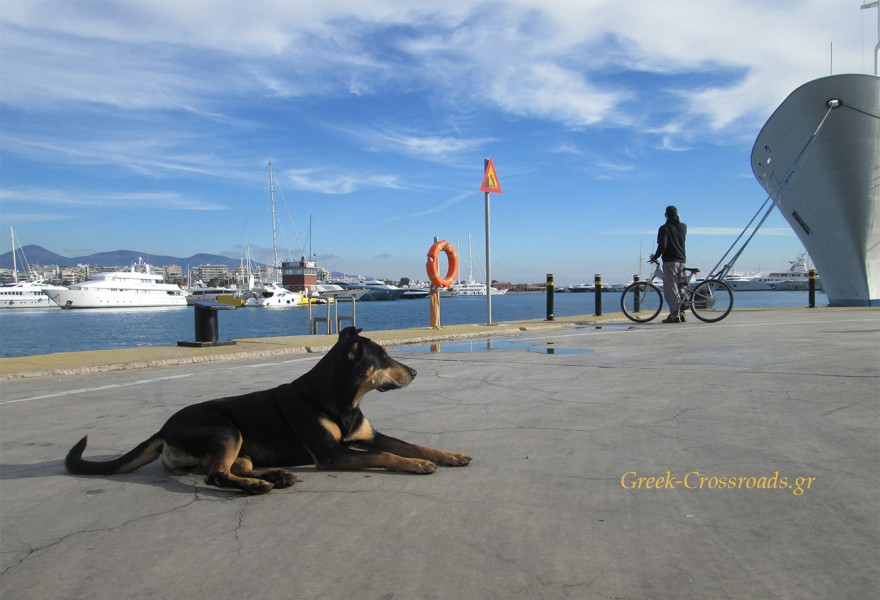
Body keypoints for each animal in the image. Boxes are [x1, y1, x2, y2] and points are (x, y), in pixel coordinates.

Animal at [65, 328, 470, 492]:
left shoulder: (367, 435)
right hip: (224, 429)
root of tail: (163, 430)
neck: (341, 400)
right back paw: (258, 486)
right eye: (383, 356)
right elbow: (389, 455)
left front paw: (449, 454)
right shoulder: (332, 454)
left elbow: (410, 444)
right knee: (217, 475)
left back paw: (274, 475)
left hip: (232, 445)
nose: (415, 372)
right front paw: (417, 465)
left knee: (230, 466)